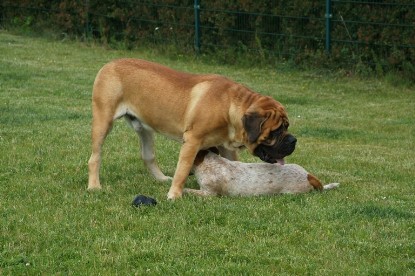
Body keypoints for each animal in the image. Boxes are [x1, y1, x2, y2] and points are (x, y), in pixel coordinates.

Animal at [87, 59, 296, 199]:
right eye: (276, 131)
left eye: (286, 127)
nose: (293, 140)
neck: (229, 106)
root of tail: (109, 64)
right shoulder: (192, 141)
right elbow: (183, 168)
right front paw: (174, 195)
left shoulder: (225, 146)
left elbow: (233, 165)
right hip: (103, 121)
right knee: (95, 157)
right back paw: (94, 186)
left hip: (145, 128)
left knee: (148, 156)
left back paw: (161, 178)